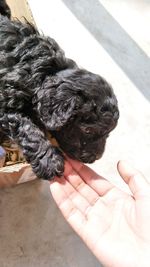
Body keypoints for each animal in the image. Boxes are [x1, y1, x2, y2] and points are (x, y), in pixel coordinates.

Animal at [0, 0, 119, 180]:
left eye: (109, 133)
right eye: (88, 130)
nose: (95, 158)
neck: (47, 70)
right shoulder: (5, 102)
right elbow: (28, 129)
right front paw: (49, 161)